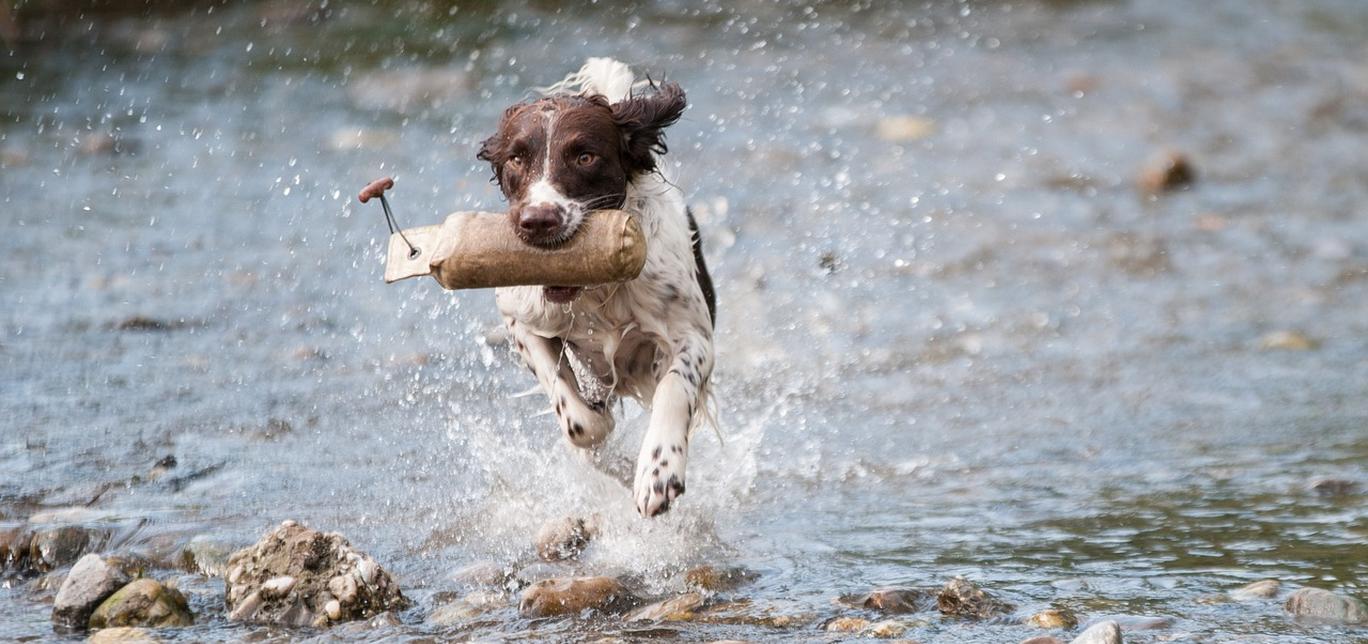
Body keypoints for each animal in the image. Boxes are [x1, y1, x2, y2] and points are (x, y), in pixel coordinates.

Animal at [476, 60, 716, 519]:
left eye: (585, 156)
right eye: (516, 158)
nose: (538, 220)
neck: (596, 291)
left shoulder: (693, 335)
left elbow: (675, 388)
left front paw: (658, 473)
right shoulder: (519, 317)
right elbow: (576, 416)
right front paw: (603, 439)